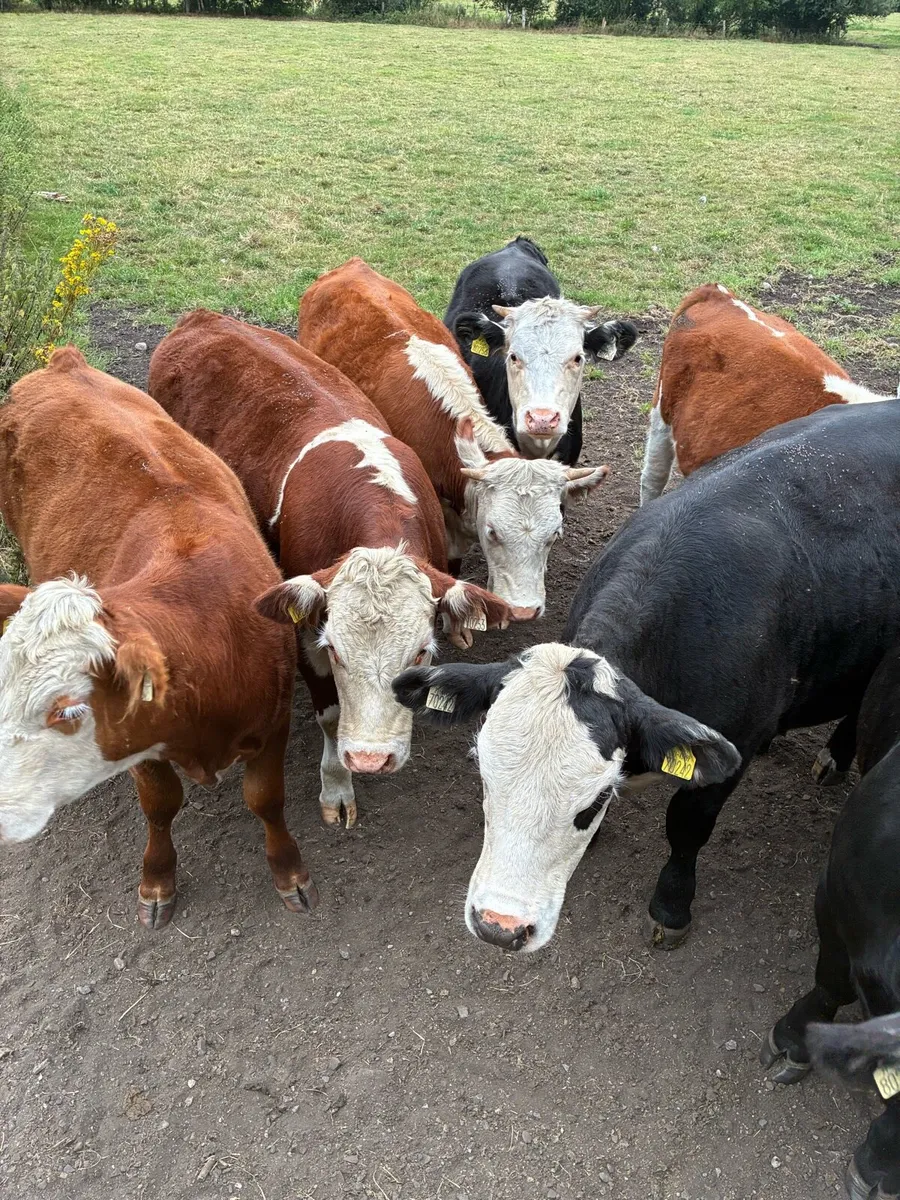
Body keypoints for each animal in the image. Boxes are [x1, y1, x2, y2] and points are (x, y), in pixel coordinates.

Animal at [0, 348, 316, 927]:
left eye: (69, 709)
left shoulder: (274, 722)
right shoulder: (142, 748)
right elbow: (161, 804)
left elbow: (266, 798)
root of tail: (63, 363)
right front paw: (157, 880)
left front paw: (289, 872)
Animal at [149, 311, 511, 830]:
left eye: (422, 652)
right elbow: (332, 716)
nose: (370, 759)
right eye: (334, 649)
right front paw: (338, 785)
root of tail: (200, 316)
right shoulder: (305, 632)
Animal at [393, 399, 900, 956]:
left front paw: (671, 906)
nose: (498, 926)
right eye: (484, 776)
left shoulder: (732, 749)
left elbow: (687, 827)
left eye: (590, 803)